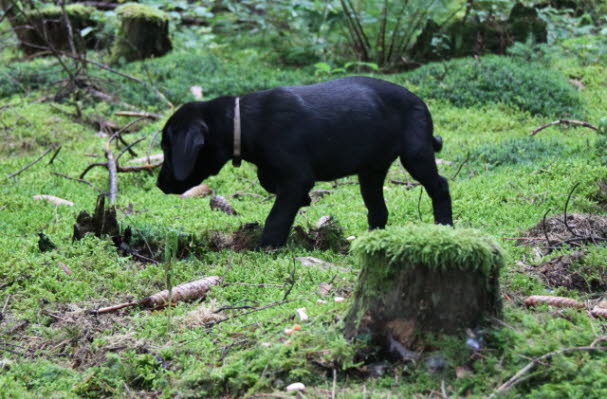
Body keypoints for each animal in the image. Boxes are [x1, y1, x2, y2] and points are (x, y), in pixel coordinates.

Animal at [159, 76, 454, 248]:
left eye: (167, 147)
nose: (160, 185)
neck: (243, 121)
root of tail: (418, 100)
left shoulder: (297, 176)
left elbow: (277, 217)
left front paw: (266, 247)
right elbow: (267, 180)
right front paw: (303, 200)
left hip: (415, 154)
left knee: (440, 186)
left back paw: (445, 227)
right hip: (371, 170)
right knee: (378, 209)